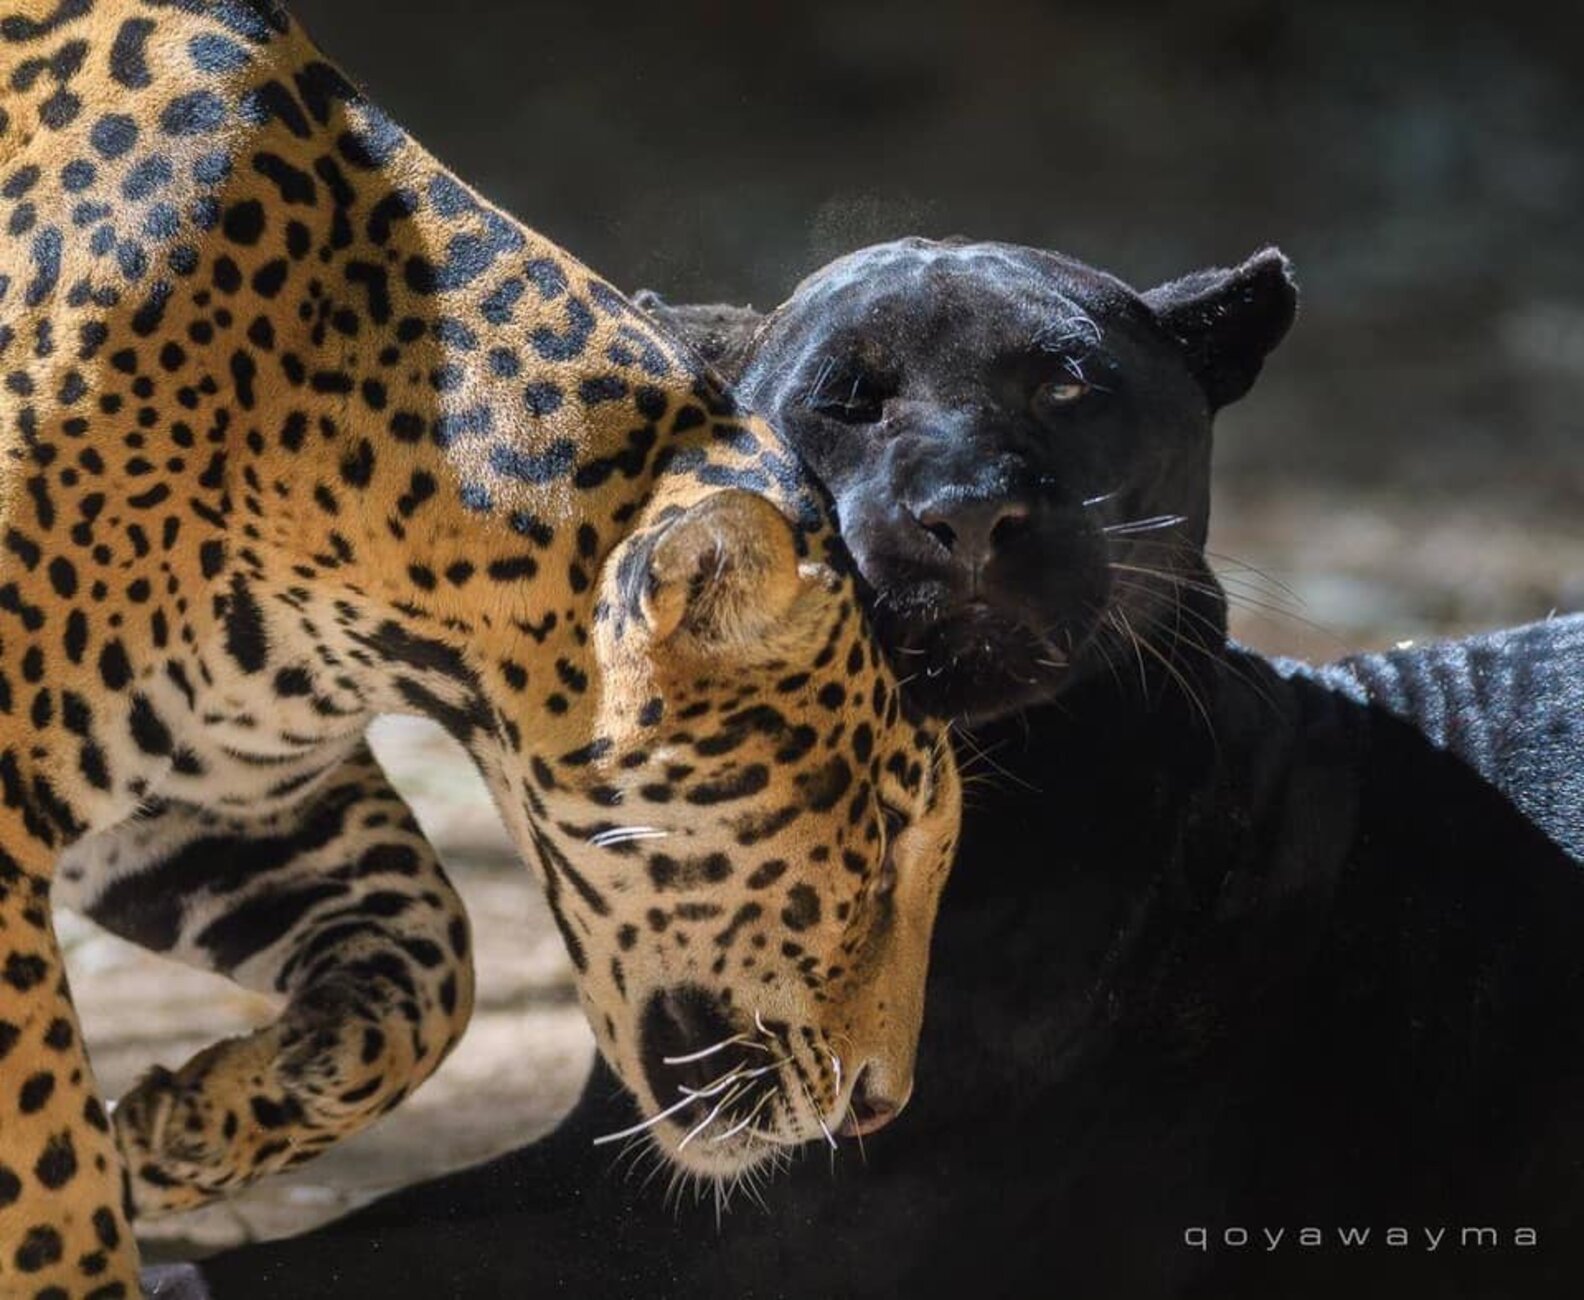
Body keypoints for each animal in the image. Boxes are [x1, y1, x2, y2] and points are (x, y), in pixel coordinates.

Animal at [0, 3, 961, 1293]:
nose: (884, 1102)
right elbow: (49, 1171)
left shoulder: (228, 792)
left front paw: (186, 1126)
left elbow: (431, 960)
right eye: (883, 829)